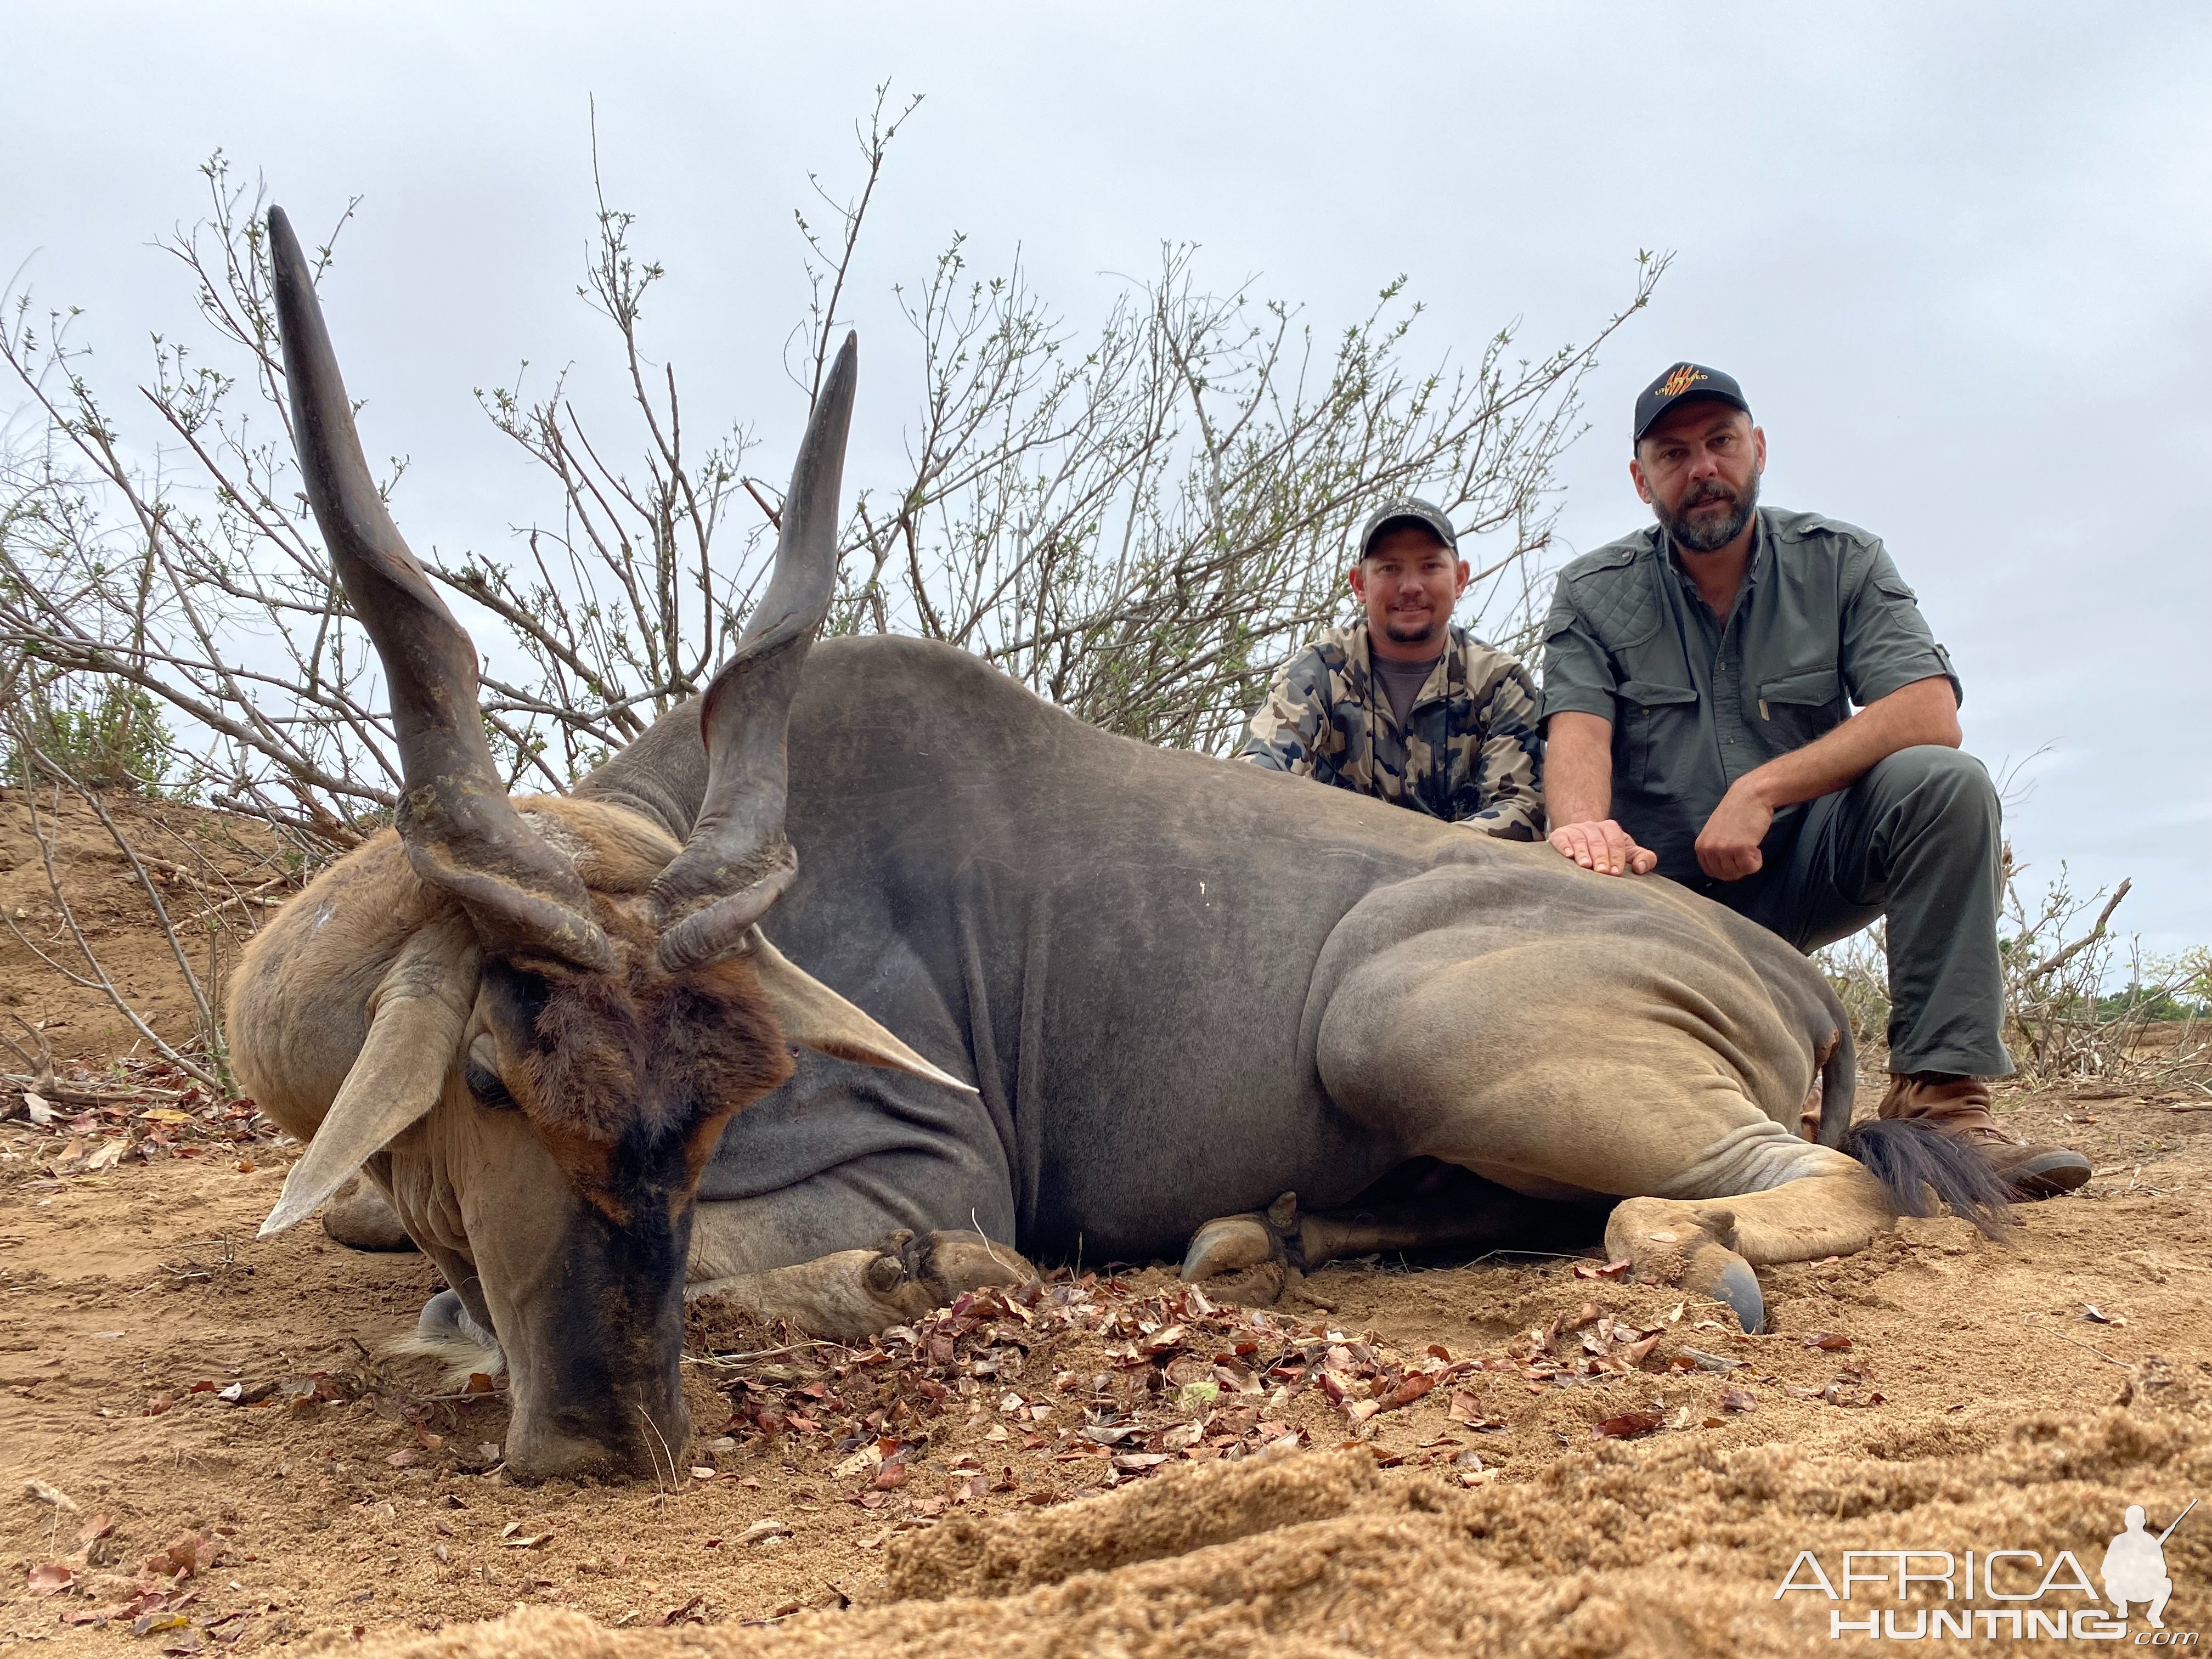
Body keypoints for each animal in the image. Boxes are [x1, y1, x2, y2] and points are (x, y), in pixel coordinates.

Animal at [229, 204, 2008, 1477]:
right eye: (485, 1082)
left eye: (733, 1095)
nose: (615, 1438)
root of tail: (1787, 978)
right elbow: (377, 1227)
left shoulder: (924, 1161)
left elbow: (506, 1288)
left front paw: (926, 1280)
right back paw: (1261, 1241)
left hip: (1395, 1015)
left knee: (1787, 1186)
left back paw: (1686, 1256)